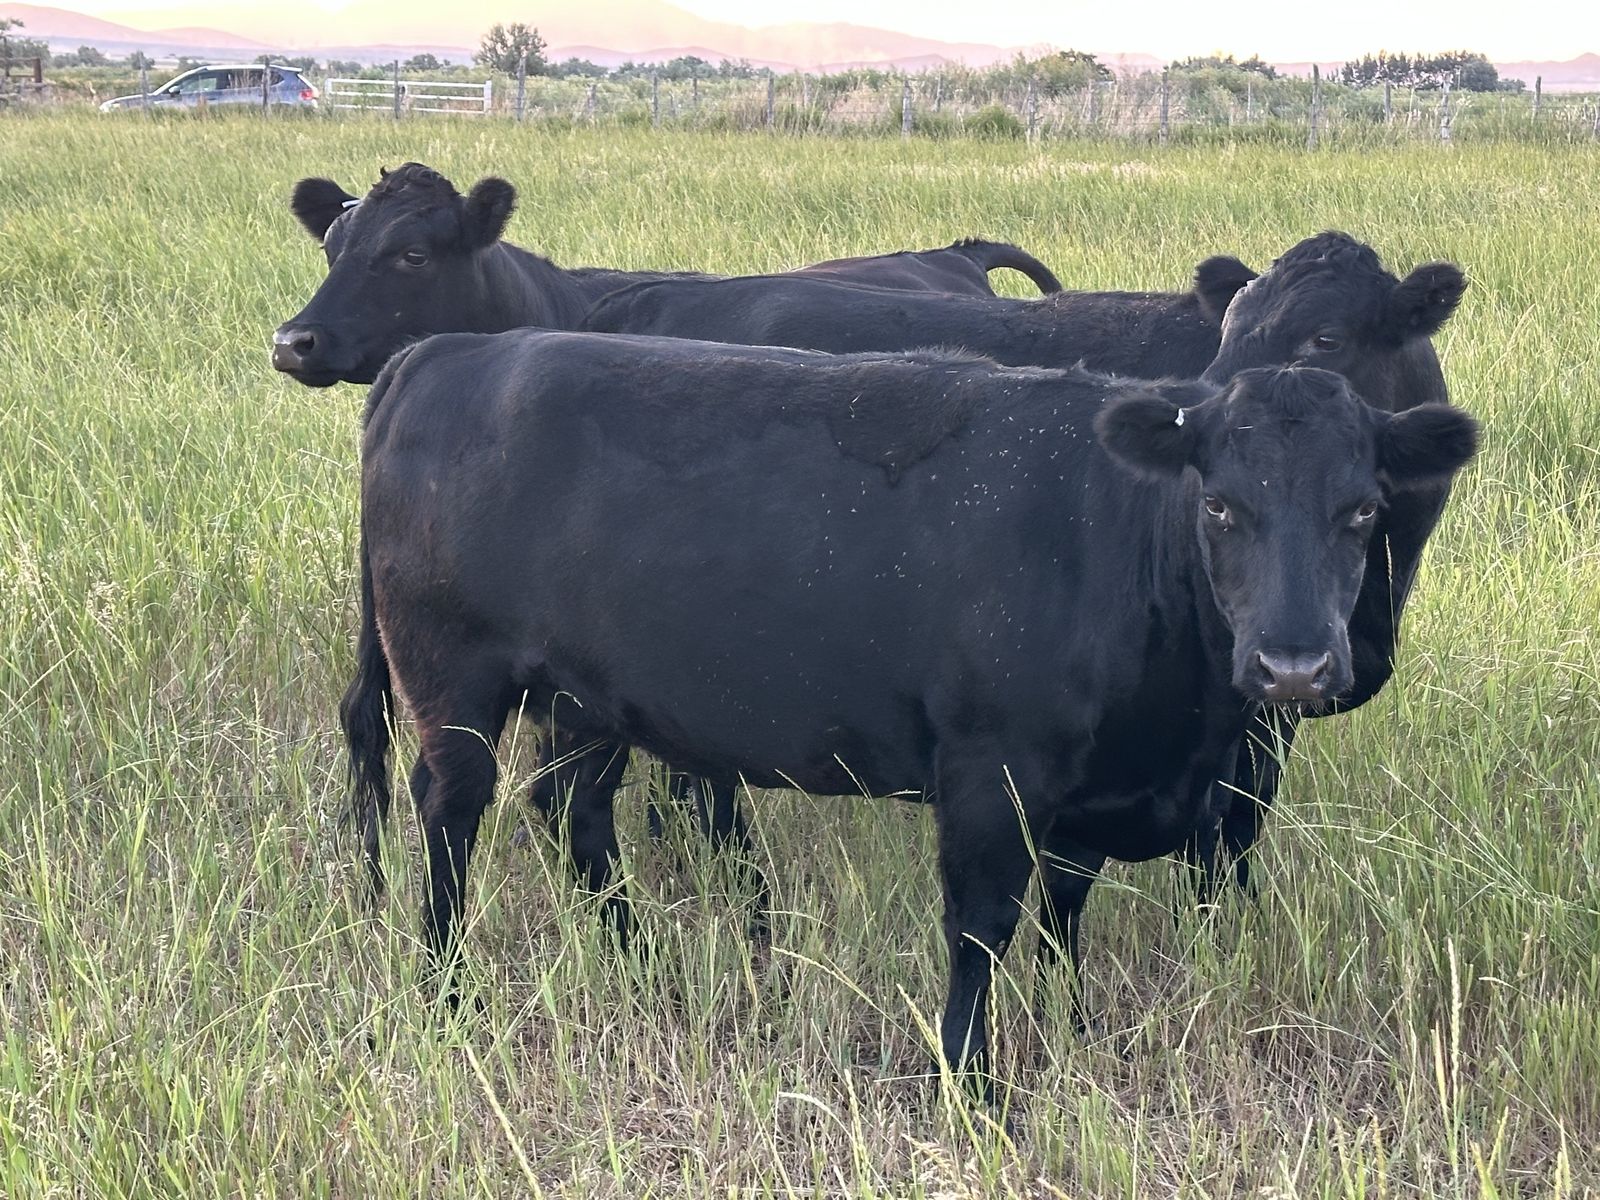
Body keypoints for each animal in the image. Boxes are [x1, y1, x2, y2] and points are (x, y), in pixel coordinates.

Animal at [342, 328, 1478, 1087]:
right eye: (1220, 505)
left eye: (1362, 509)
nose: (1294, 666)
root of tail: (448, 351)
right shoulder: (989, 771)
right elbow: (982, 925)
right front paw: (969, 1079)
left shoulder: (1088, 795)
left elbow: (1064, 916)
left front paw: (1073, 1030)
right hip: (451, 678)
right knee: (450, 814)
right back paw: (447, 993)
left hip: (587, 701)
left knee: (572, 813)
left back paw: (642, 967)